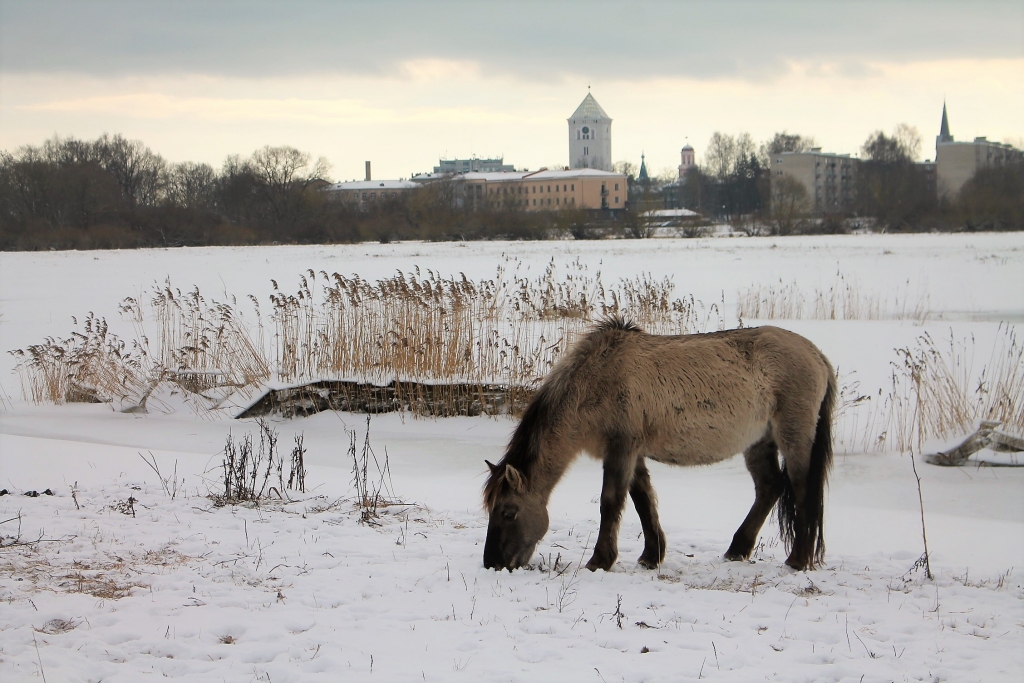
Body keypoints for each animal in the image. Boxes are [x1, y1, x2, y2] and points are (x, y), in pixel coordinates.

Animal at [483, 317, 835, 573]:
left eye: (508, 513)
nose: (493, 563)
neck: (596, 381)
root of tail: (817, 355)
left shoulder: (621, 449)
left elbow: (611, 502)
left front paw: (600, 560)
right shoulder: (633, 453)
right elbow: (643, 501)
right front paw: (651, 556)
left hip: (794, 437)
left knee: (802, 490)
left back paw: (798, 560)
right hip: (759, 442)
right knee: (769, 487)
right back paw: (737, 550)